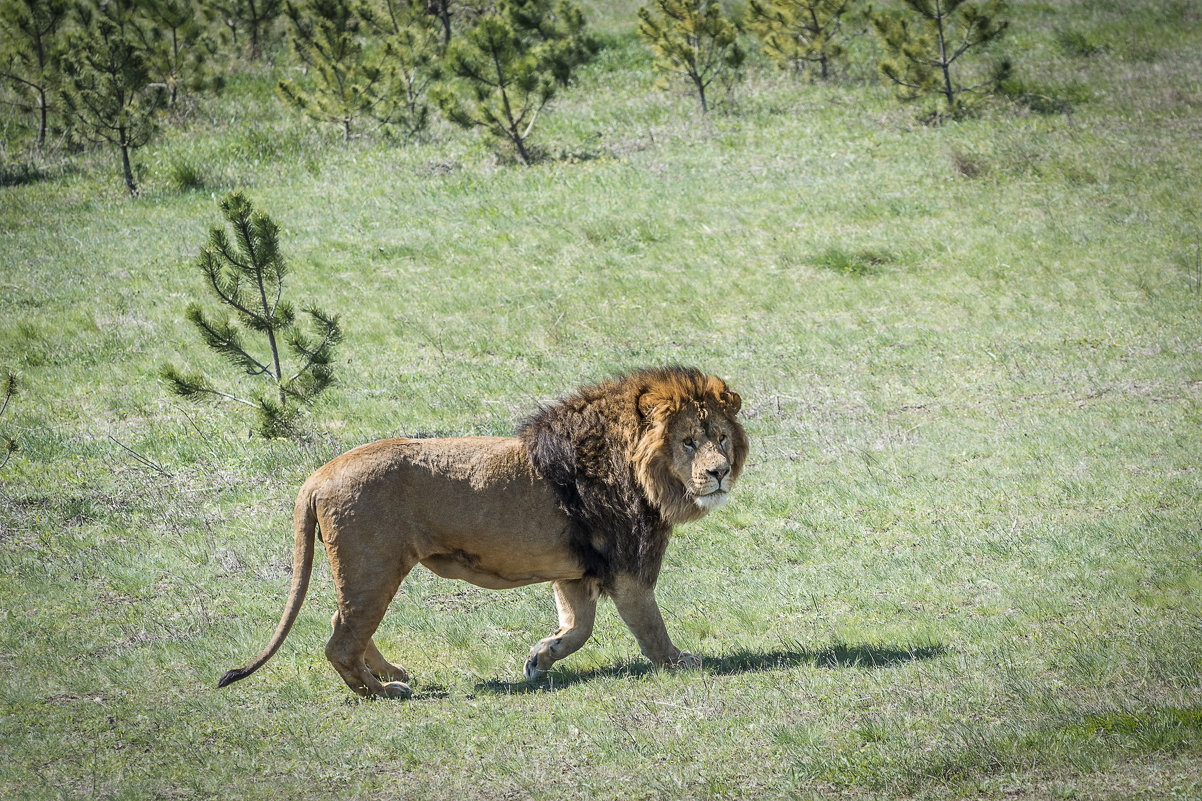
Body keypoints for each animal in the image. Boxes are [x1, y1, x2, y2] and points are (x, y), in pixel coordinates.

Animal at [215, 365, 740, 697]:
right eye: (688, 441)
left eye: (721, 437)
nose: (719, 471)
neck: (644, 473)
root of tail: (318, 476)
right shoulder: (629, 568)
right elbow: (650, 628)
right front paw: (682, 662)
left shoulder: (575, 572)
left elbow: (578, 627)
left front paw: (540, 657)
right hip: (374, 569)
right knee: (340, 642)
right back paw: (385, 691)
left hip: (367, 574)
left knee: (339, 624)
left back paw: (390, 672)